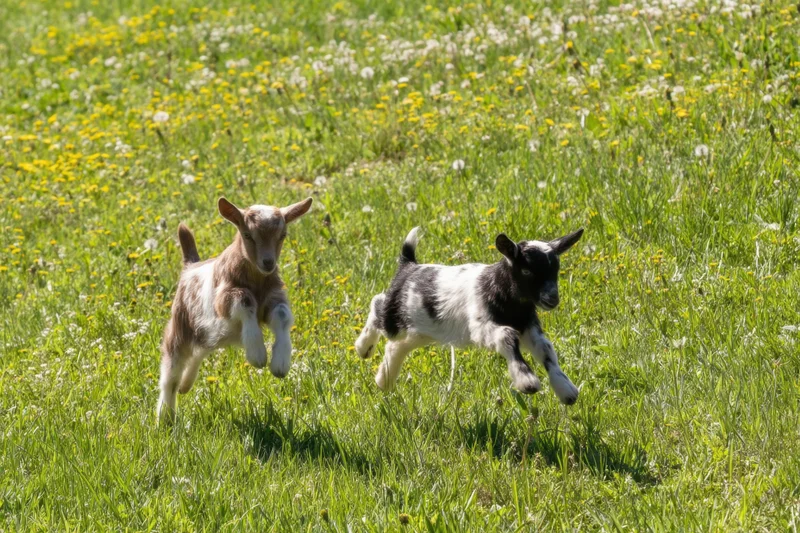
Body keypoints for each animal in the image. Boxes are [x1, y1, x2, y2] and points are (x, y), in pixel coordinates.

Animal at [157, 196, 312, 422]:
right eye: (247, 235)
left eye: (283, 235)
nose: (268, 263)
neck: (257, 281)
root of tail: (190, 267)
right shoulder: (224, 298)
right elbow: (244, 301)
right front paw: (257, 354)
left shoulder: (274, 297)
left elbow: (282, 315)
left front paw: (280, 364)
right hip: (180, 329)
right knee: (170, 376)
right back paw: (165, 418)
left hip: (208, 334)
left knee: (198, 352)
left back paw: (186, 385)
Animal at [355, 227, 584, 404]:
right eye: (526, 271)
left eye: (556, 269)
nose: (552, 299)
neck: (498, 289)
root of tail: (409, 265)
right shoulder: (481, 327)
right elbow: (507, 337)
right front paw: (527, 381)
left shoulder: (529, 328)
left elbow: (546, 350)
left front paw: (566, 391)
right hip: (396, 316)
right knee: (377, 304)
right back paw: (363, 348)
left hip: (423, 330)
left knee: (397, 346)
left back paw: (384, 380)